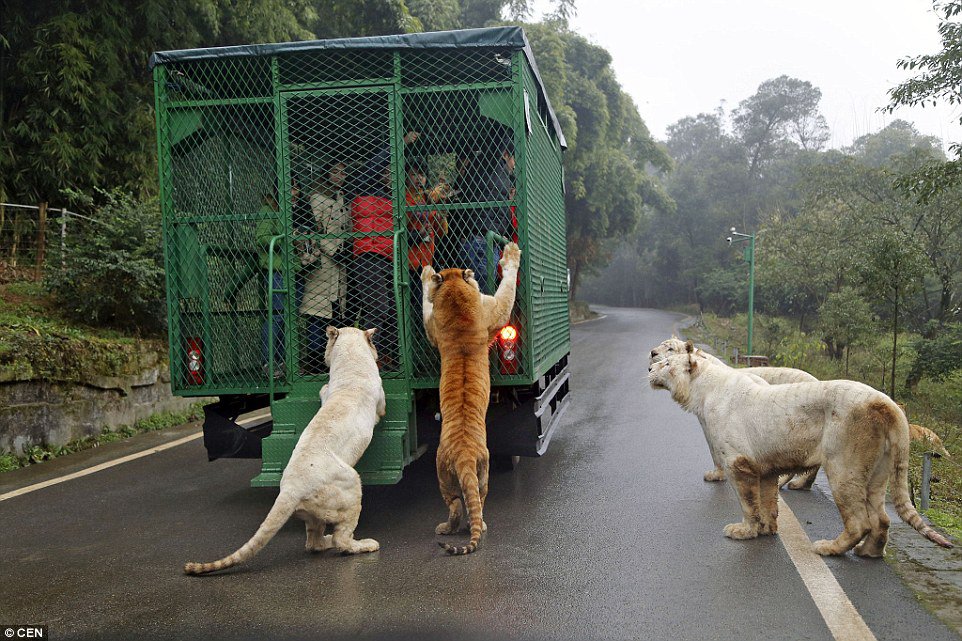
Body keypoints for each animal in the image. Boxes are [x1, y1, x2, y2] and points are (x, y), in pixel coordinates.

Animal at [420, 242, 520, 552]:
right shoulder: (495, 311)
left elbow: (426, 304)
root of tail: (464, 455)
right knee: (467, 504)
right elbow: (508, 287)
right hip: (475, 474)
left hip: (447, 474)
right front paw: (511, 253)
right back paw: (463, 527)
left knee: (457, 504)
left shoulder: (435, 329)